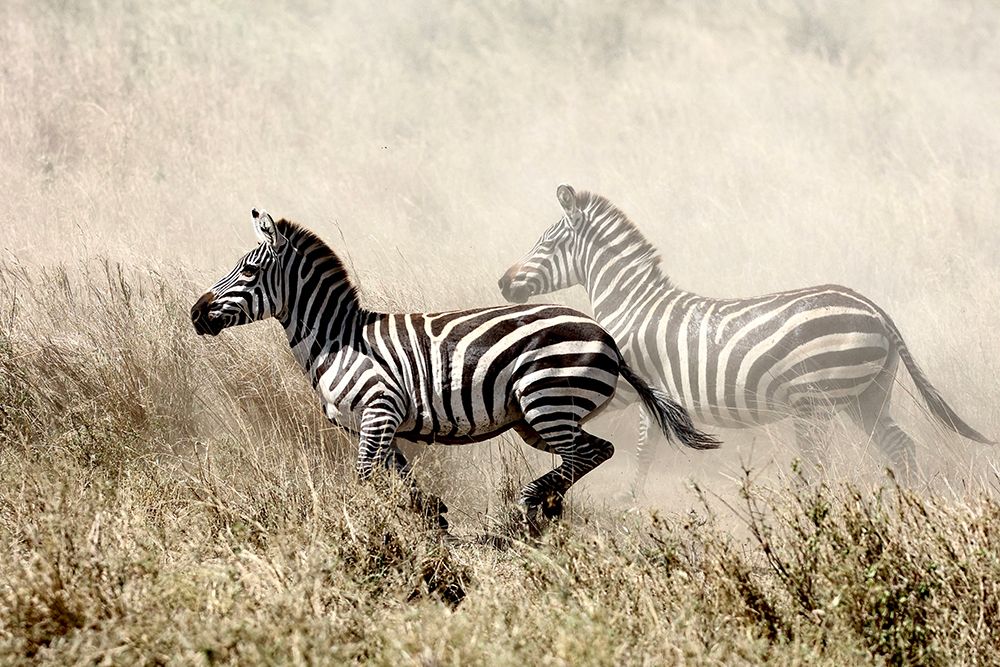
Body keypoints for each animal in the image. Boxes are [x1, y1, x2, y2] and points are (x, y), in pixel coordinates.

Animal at [190, 209, 719, 529]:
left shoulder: (379, 410)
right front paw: (432, 519)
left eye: (249, 271)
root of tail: (606, 334)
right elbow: (402, 480)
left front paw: (363, 527)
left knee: (589, 453)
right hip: (537, 420)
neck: (337, 339)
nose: (196, 313)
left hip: (547, 401)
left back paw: (533, 503)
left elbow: (364, 479)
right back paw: (544, 506)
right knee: (592, 452)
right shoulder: (379, 425)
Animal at [499, 185, 993, 493]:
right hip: (867, 396)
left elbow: (638, 449)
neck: (633, 303)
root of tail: (876, 310)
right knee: (900, 447)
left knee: (821, 463)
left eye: (545, 244)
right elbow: (642, 450)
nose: (503, 284)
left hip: (816, 403)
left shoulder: (631, 385)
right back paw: (909, 508)